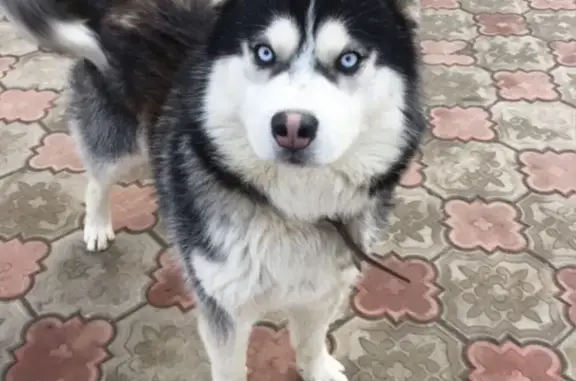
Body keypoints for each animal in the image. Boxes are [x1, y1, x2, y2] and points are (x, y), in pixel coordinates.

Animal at [2, 0, 426, 378]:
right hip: (117, 144)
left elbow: (310, 340)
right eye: (264, 53)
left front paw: (318, 370)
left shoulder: (325, 288)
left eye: (349, 60)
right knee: (97, 180)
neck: (291, 208)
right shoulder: (224, 311)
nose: (292, 127)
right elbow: (230, 365)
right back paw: (97, 225)